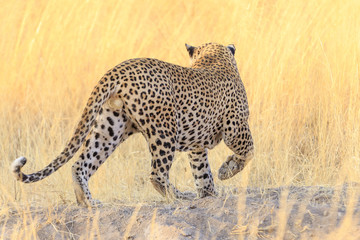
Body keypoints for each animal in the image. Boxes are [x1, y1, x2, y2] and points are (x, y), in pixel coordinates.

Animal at [10, 42, 253, 206]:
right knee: (157, 173)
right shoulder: (236, 128)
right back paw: (180, 197)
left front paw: (209, 193)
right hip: (163, 129)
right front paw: (227, 170)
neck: (215, 58)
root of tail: (119, 69)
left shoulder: (197, 145)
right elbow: (249, 151)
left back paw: (88, 203)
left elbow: (202, 171)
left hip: (109, 128)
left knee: (80, 164)